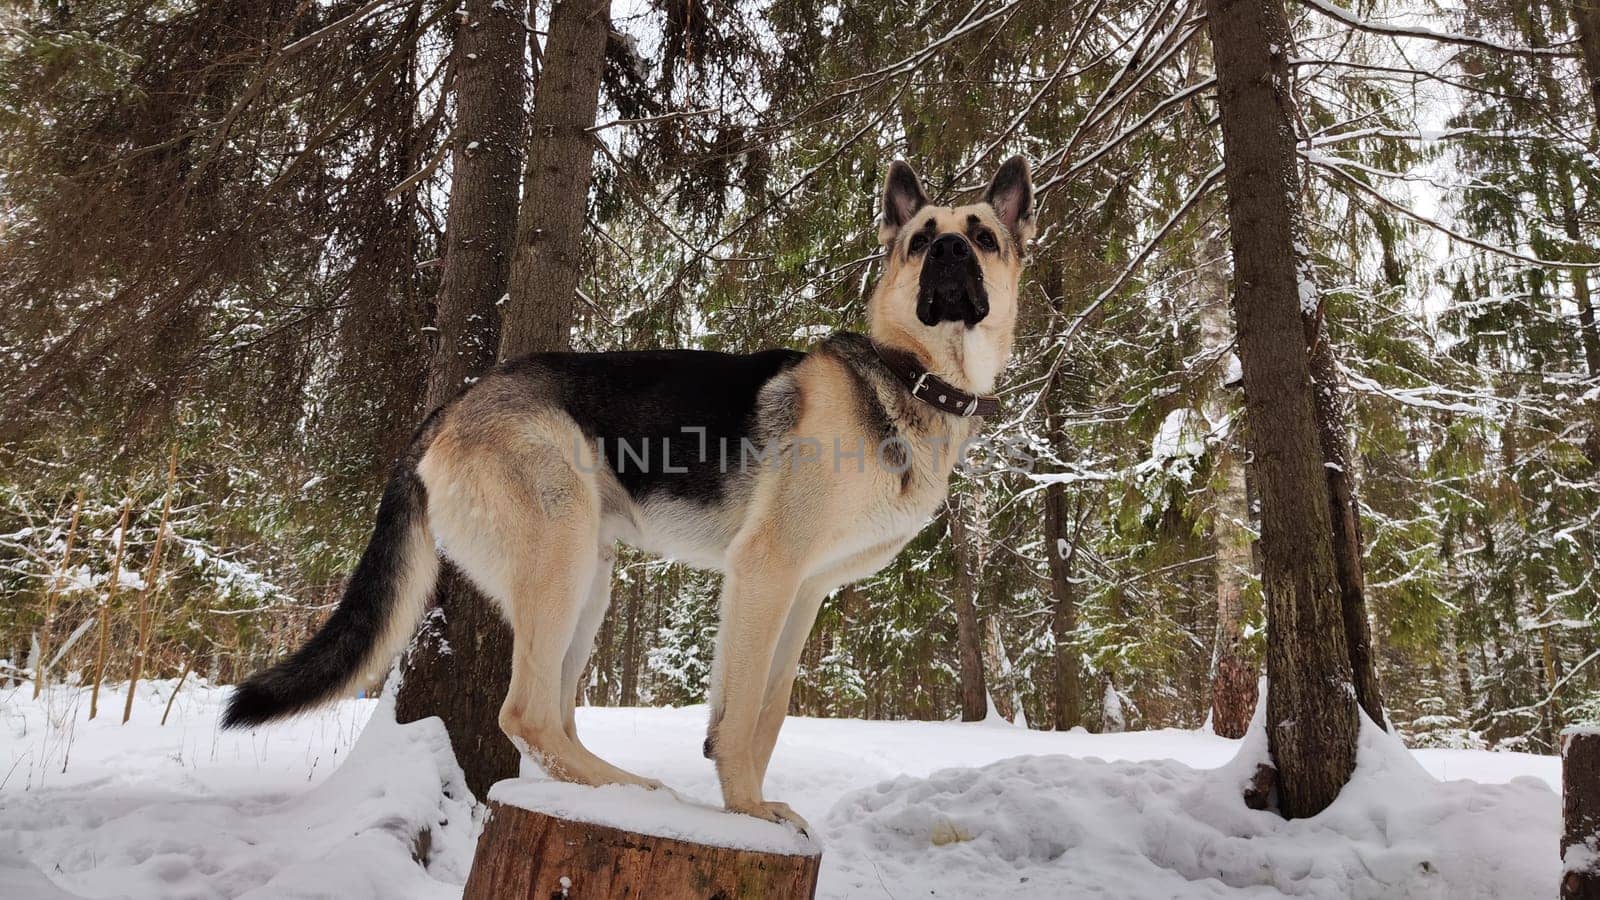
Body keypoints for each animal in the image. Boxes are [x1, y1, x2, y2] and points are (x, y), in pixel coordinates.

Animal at [222, 156, 1036, 826]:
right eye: (921, 239)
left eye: (982, 237)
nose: (951, 253)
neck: (910, 378)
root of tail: (450, 409)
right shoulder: (765, 572)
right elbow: (742, 714)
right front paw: (748, 810)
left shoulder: (802, 593)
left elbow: (766, 712)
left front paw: (748, 799)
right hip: (562, 554)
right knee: (526, 713)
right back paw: (638, 792)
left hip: (593, 577)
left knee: (555, 714)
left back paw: (615, 790)